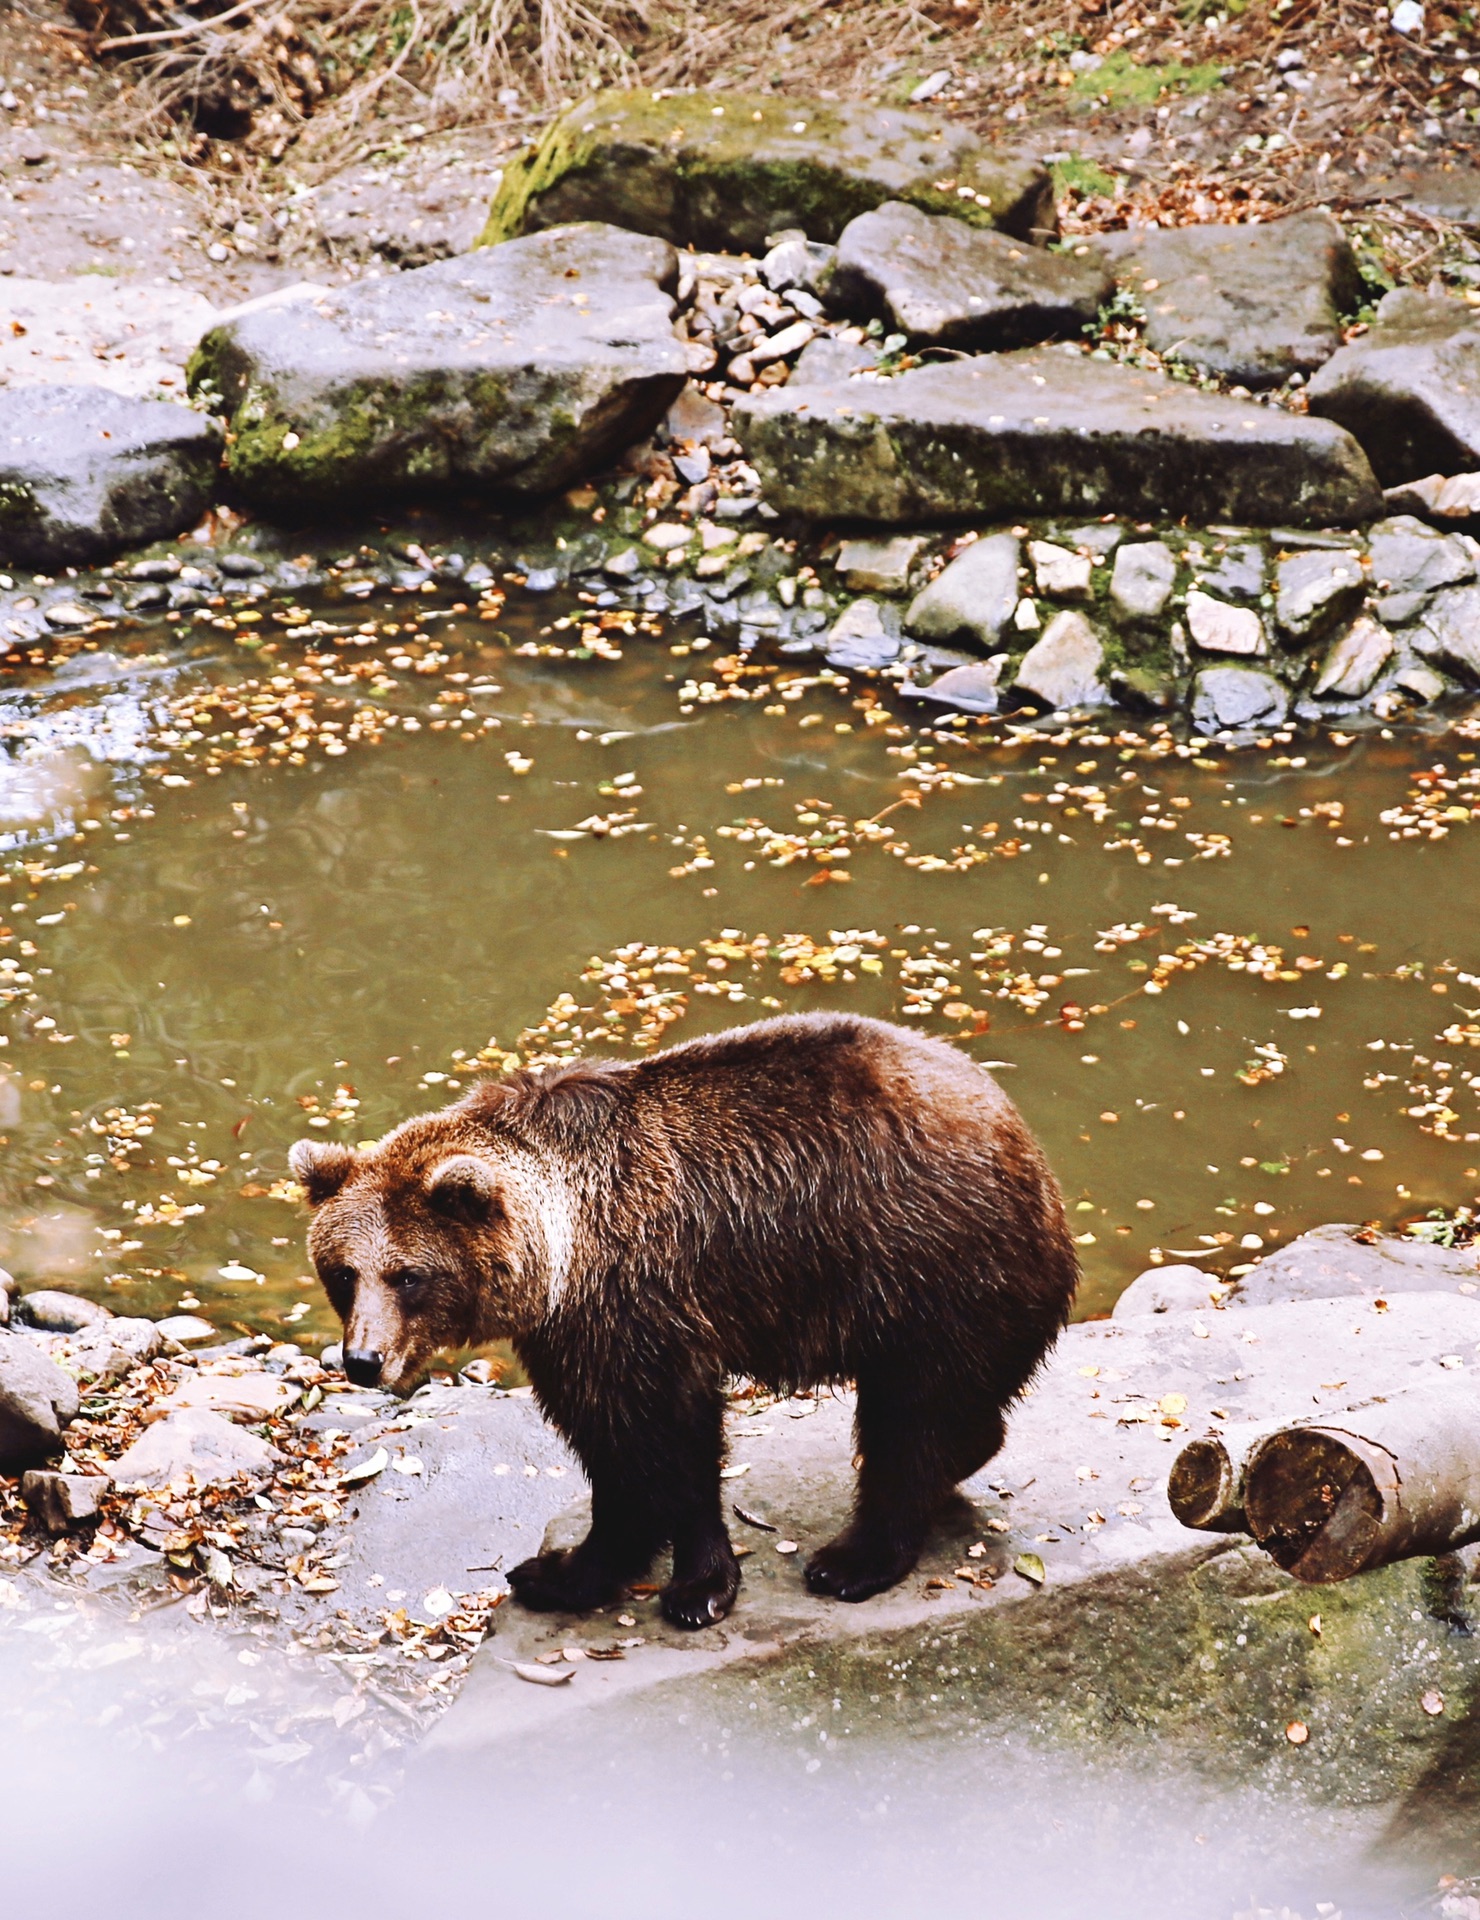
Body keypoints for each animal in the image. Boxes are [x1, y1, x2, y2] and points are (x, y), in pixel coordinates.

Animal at [291, 1013, 1074, 1628]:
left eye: (409, 1275)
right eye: (343, 1272)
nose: (362, 1360)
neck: (562, 1250)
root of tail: (1022, 1137)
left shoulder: (636, 1303)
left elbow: (657, 1442)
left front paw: (655, 1581)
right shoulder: (580, 1328)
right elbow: (635, 1449)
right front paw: (599, 1571)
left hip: (928, 1265)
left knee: (912, 1413)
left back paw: (854, 1558)